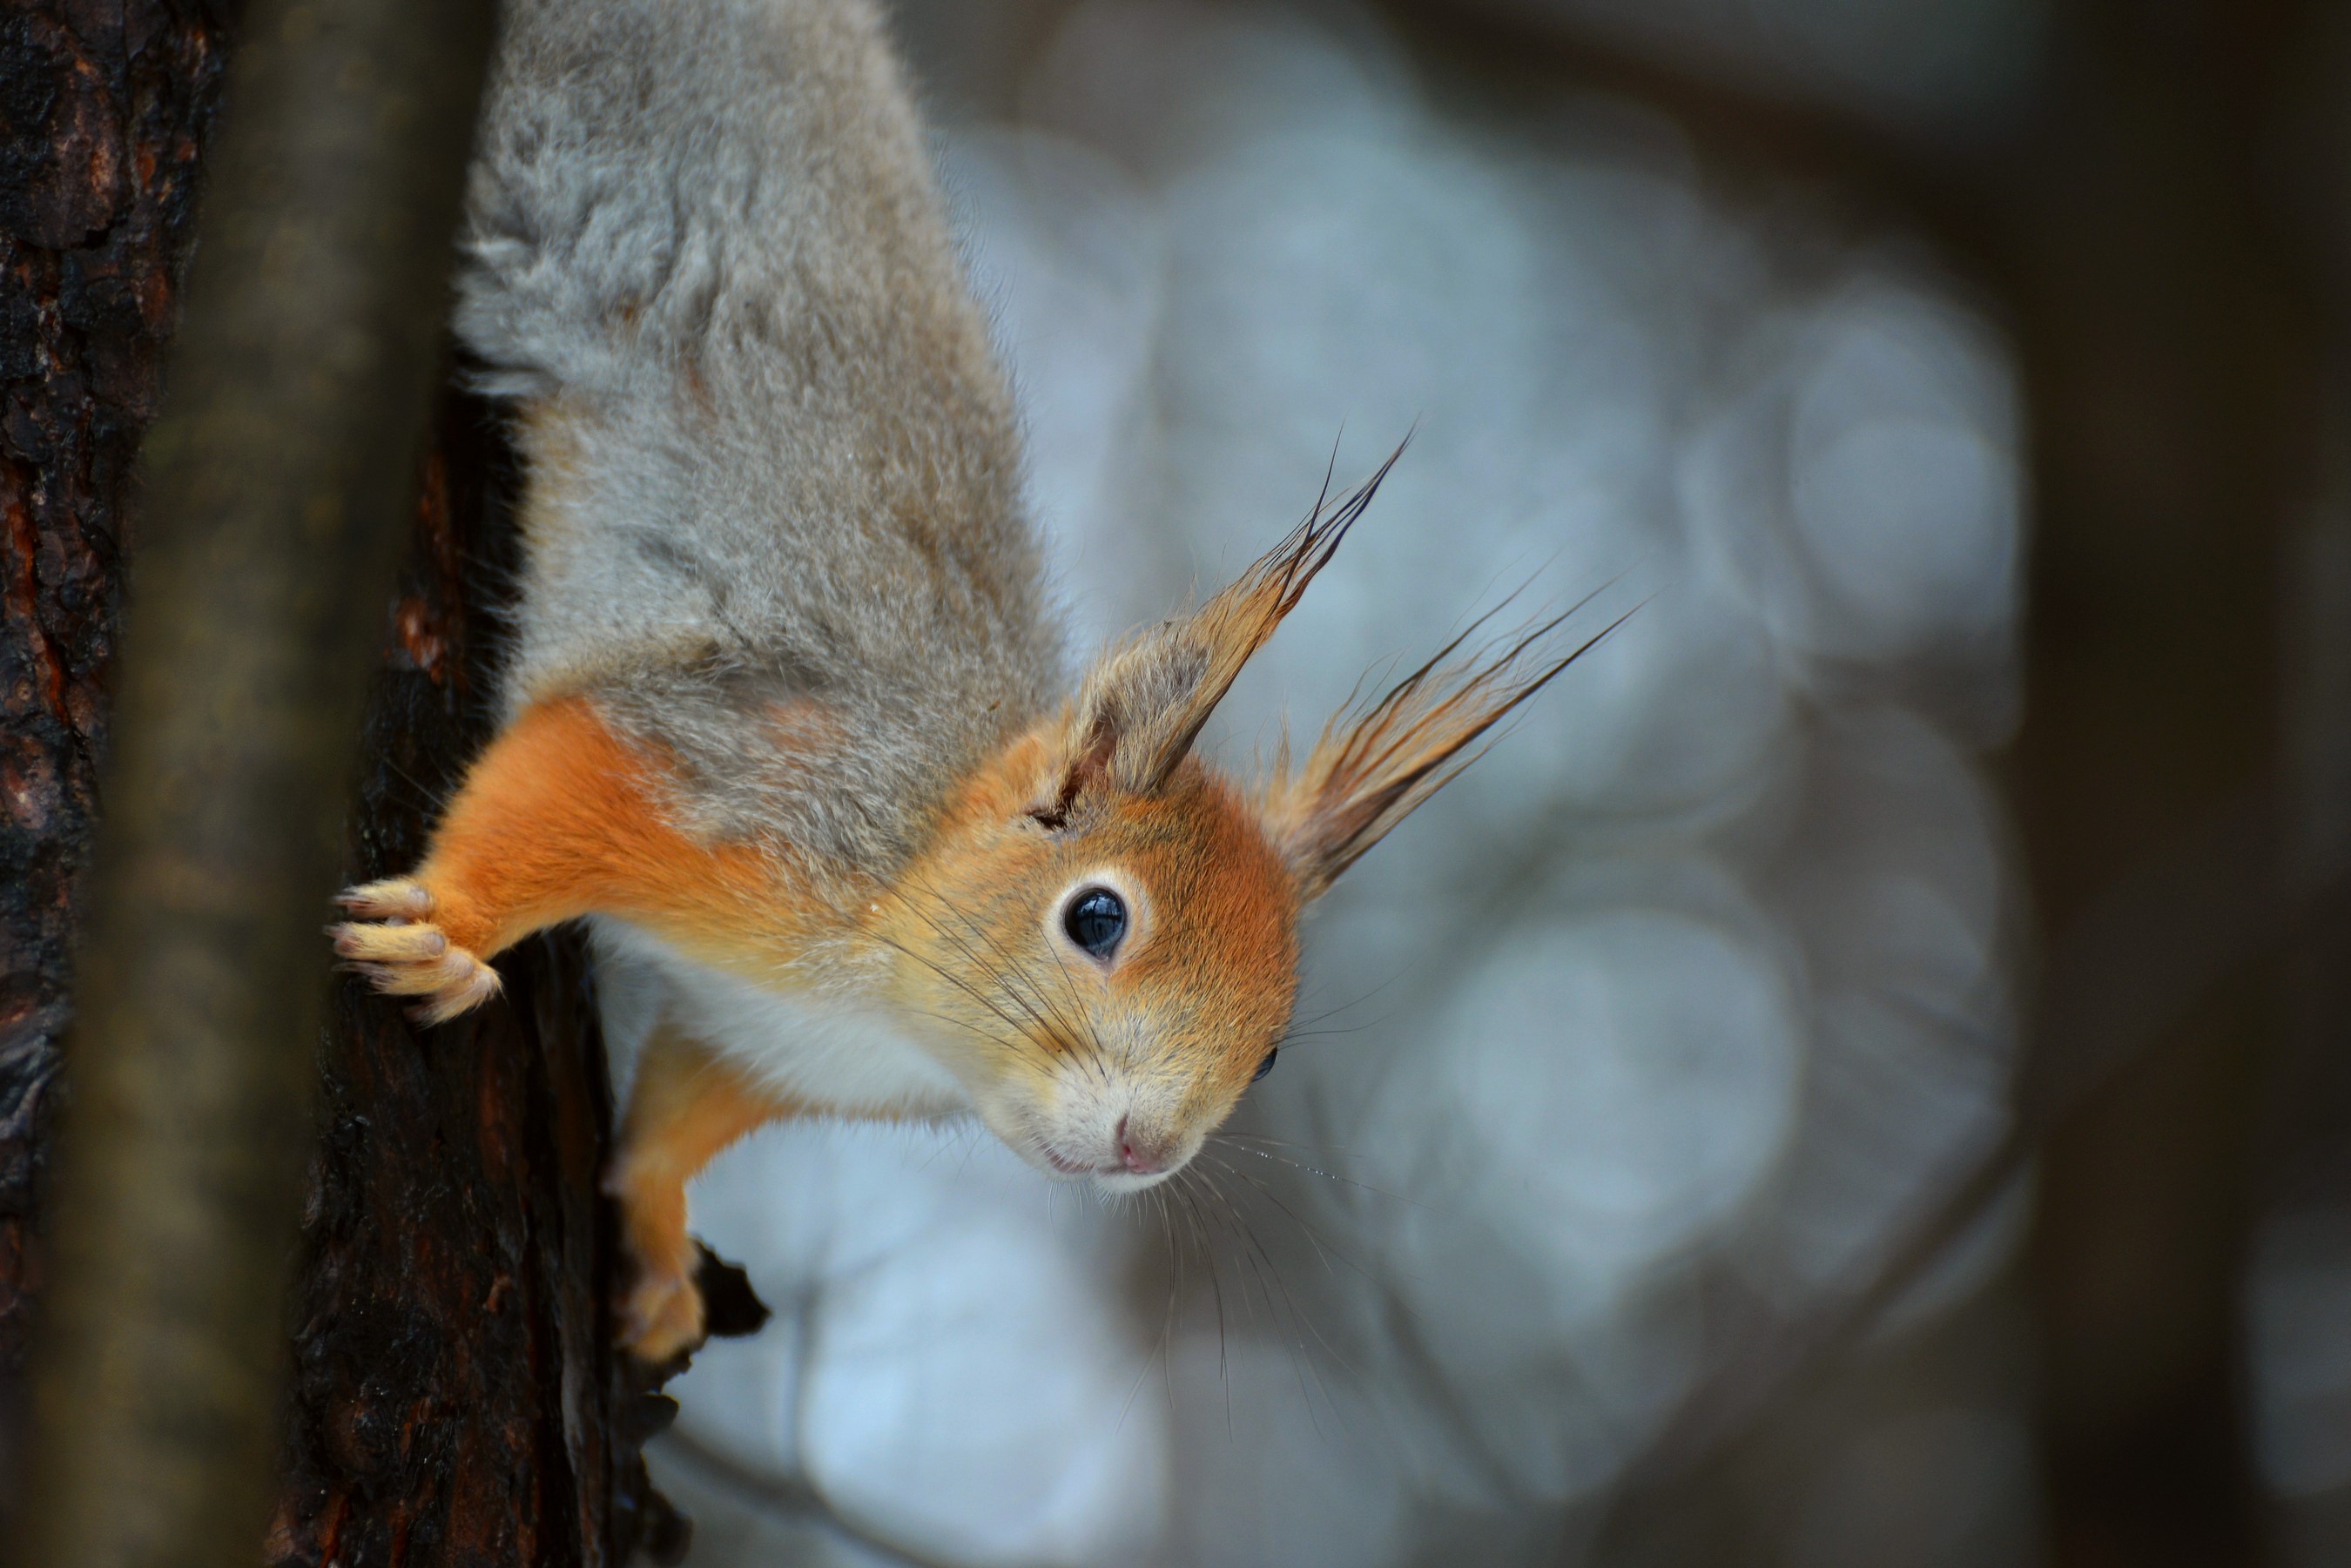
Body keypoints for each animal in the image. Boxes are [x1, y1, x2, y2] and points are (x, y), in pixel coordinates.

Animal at [330, 0, 1604, 1364]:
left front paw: (659, 1256)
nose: (1147, 1146)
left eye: (1269, 1053)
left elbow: (676, 1113)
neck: (890, 993)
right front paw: (447, 930)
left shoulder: (765, 1044)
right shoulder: (736, 771)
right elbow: (556, 778)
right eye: (1095, 918)